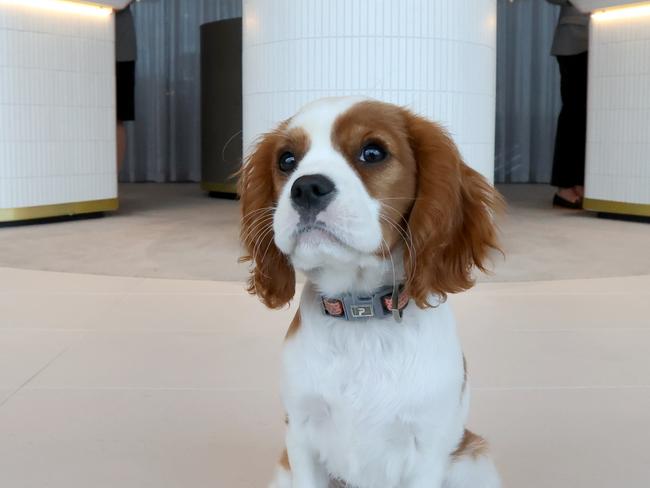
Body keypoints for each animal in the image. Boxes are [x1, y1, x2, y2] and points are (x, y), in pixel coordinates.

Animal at [238, 96, 502, 488]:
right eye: (286, 160)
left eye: (373, 152)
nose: (306, 187)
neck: (360, 318)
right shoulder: (300, 436)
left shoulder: (427, 448)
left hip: (473, 459)